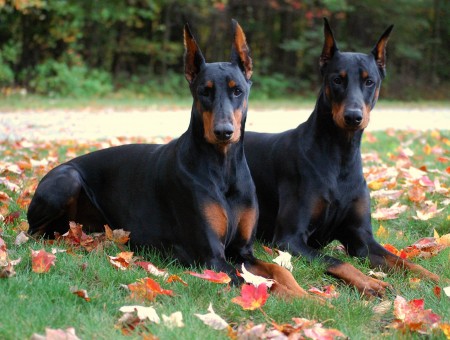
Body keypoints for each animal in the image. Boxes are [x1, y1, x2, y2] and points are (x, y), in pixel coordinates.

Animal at [27, 20, 310, 298]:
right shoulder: (211, 257)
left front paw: (308, 296)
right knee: (37, 233)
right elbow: (260, 286)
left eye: (237, 91)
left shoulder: (242, 251)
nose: (224, 131)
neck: (223, 166)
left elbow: (279, 272)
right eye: (204, 91)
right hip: (68, 179)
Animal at [244, 17, 442, 298]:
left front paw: (432, 277)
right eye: (338, 79)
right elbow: (337, 261)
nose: (353, 116)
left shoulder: (361, 238)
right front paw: (371, 282)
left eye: (369, 81)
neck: (341, 156)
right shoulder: (290, 238)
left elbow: (402, 261)